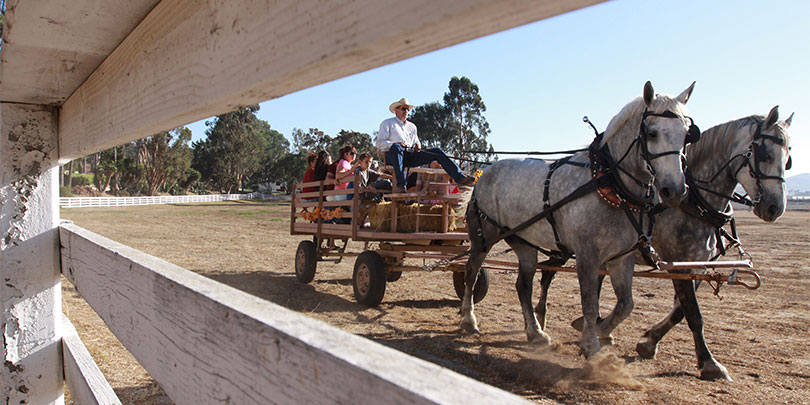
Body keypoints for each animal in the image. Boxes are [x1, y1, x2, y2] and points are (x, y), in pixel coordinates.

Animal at [460, 82, 696, 356]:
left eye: (687, 134)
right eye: (652, 133)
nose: (674, 190)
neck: (609, 183)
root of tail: (482, 174)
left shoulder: (622, 257)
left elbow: (626, 305)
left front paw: (602, 331)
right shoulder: (587, 254)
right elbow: (590, 303)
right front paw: (591, 345)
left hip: (524, 242)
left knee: (523, 286)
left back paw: (535, 333)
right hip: (483, 237)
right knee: (471, 273)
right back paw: (468, 320)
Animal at [544, 105, 788, 378]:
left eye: (788, 157)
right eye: (765, 154)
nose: (774, 207)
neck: (692, 202)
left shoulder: (695, 264)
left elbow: (680, 310)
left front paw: (649, 341)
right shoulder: (677, 260)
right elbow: (693, 313)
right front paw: (709, 362)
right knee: (547, 275)